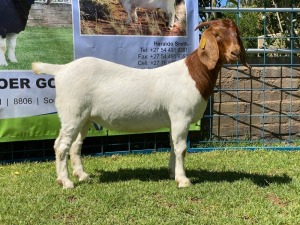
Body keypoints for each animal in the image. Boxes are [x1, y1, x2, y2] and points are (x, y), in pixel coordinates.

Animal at [31, 18, 250, 188]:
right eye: (217, 34)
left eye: (236, 33)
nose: (235, 52)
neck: (194, 74)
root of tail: (61, 69)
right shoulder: (181, 116)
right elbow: (181, 148)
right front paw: (183, 180)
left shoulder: (172, 119)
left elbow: (172, 145)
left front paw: (172, 173)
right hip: (72, 113)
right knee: (61, 145)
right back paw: (66, 182)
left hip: (84, 117)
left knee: (75, 145)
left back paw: (82, 176)